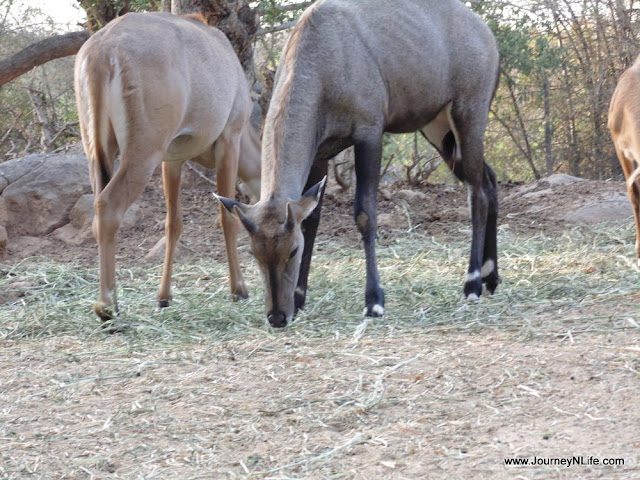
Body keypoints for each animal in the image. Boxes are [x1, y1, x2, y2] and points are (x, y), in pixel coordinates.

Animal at [76, 11, 262, 320]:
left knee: (97, 212)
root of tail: (102, 52)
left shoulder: (172, 159)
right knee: (108, 206)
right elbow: (227, 216)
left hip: (98, 151)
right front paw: (239, 290)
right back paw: (106, 306)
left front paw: (164, 297)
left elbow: (172, 223)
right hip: (143, 152)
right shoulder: (229, 139)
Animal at [218, 0, 502, 328]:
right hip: (439, 131)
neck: (323, 55)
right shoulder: (320, 153)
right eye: (254, 253)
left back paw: (472, 283)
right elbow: (313, 219)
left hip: (468, 116)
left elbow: (365, 213)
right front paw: (300, 298)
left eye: (292, 250)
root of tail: (486, 34)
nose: (277, 316)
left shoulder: (369, 133)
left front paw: (374, 301)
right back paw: (491, 277)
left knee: (477, 190)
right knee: (489, 179)